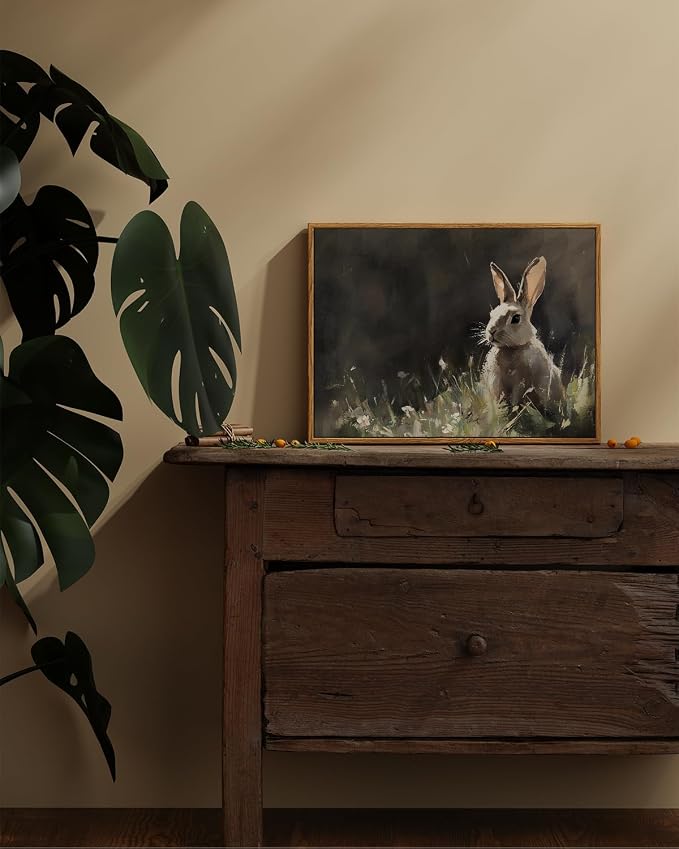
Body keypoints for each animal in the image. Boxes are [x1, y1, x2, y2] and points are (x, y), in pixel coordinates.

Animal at [481, 256, 564, 413]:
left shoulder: (521, 382)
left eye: (516, 318)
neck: (511, 348)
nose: (491, 331)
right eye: (491, 314)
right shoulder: (496, 382)